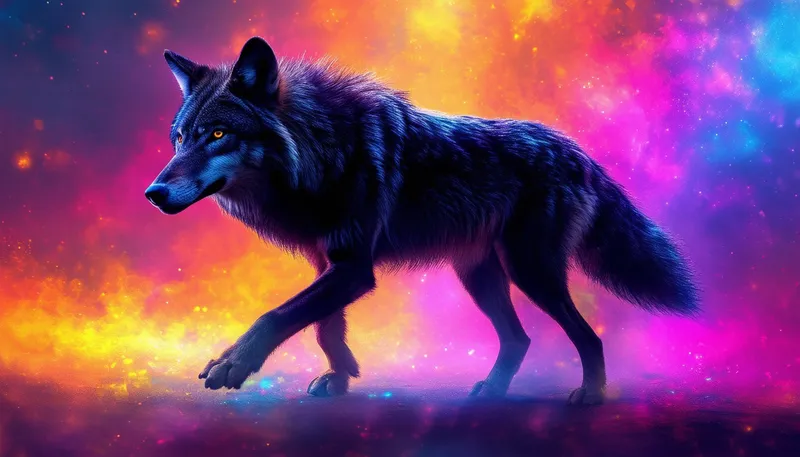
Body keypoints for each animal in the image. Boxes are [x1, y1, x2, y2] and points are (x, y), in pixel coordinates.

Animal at [145, 36, 698, 405]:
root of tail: (579, 153)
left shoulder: (353, 268)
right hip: (480, 277)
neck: (322, 152)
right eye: (180, 139)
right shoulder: (329, 262)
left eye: (218, 134)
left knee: (588, 336)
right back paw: (490, 392)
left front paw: (232, 363)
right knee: (519, 339)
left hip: (531, 273)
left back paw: (589, 396)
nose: (153, 194)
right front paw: (341, 375)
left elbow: (277, 315)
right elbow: (324, 326)